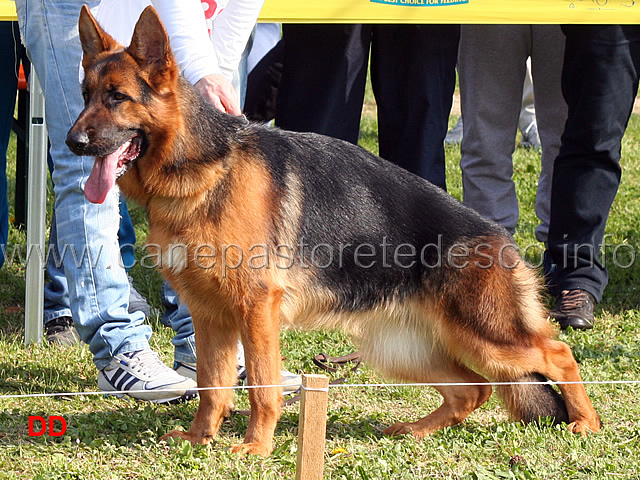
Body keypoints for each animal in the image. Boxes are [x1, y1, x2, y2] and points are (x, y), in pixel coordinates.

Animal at [67, 5, 604, 456]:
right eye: (86, 96)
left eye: (118, 98)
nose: (72, 142)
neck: (201, 166)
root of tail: (499, 237)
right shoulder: (210, 315)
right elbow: (211, 386)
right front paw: (201, 439)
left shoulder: (255, 310)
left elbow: (260, 386)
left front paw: (256, 447)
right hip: (402, 349)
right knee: (474, 389)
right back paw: (413, 430)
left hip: (486, 336)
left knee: (556, 353)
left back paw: (587, 424)